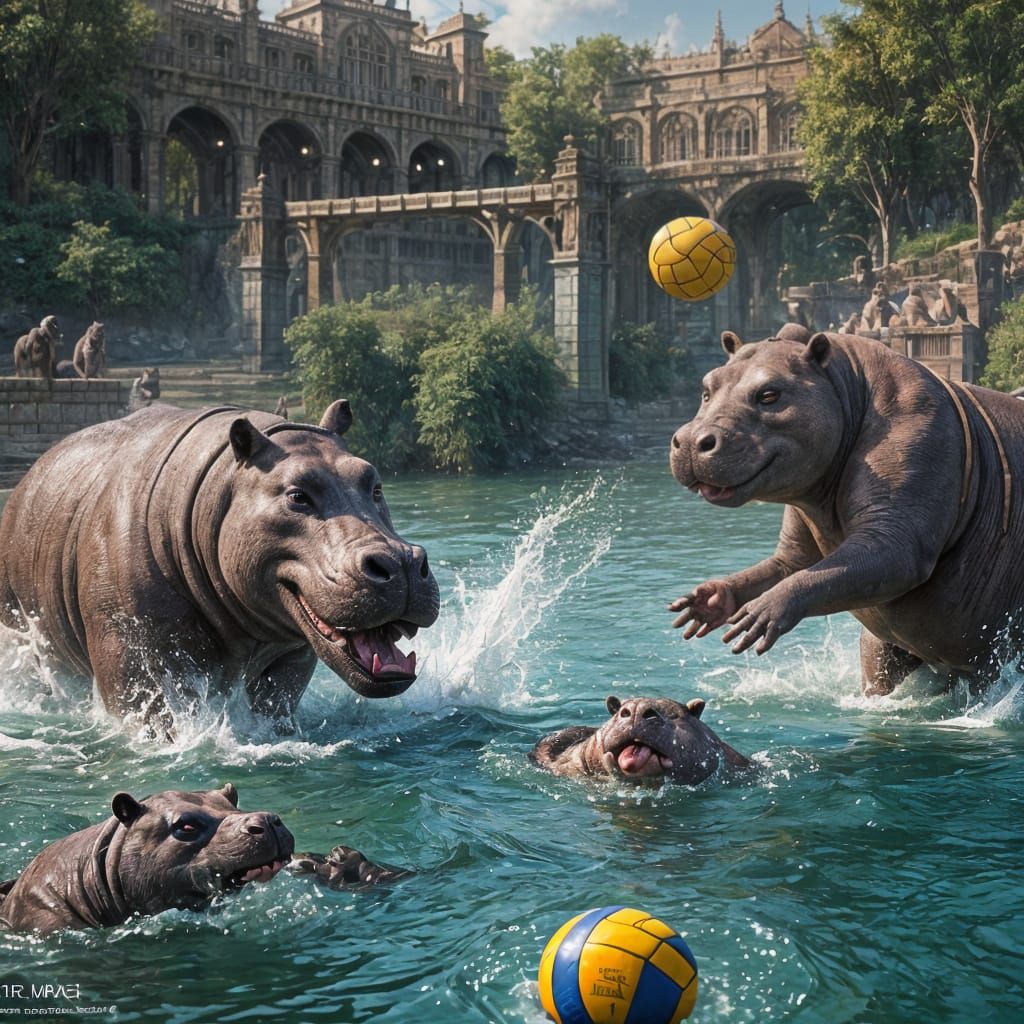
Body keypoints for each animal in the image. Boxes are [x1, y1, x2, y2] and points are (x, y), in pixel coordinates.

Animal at [0, 400, 440, 732]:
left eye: (375, 484)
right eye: (297, 495)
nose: (401, 563)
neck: (222, 484)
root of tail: (29, 476)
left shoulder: (292, 654)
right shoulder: (126, 645)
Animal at [669, 330, 1024, 695]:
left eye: (769, 394)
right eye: (706, 390)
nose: (691, 441)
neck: (845, 386)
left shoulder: (919, 451)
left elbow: (892, 557)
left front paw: (763, 612)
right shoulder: (802, 521)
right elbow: (790, 565)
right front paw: (710, 599)